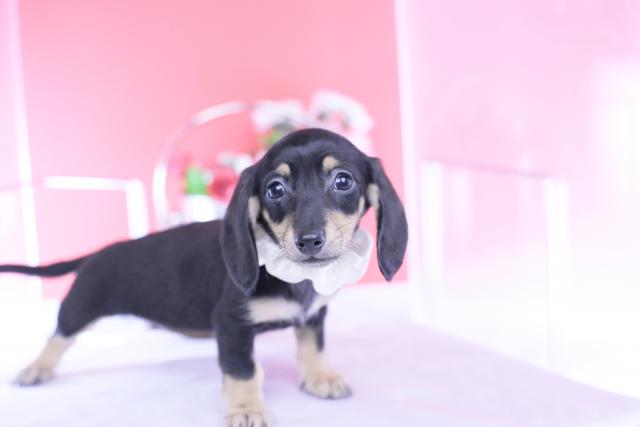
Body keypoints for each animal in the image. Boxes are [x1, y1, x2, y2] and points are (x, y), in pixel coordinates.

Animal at [0, 128, 408, 427]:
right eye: (275, 189)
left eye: (343, 181)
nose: (308, 241)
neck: (296, 277)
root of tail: (99, 253)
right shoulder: (232, 325)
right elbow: (243, 370)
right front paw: (247, 409)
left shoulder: (314, 316)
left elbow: (312, 347)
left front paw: (319, 377)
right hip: (79, 305)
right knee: (58, 336)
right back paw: (36, 369)